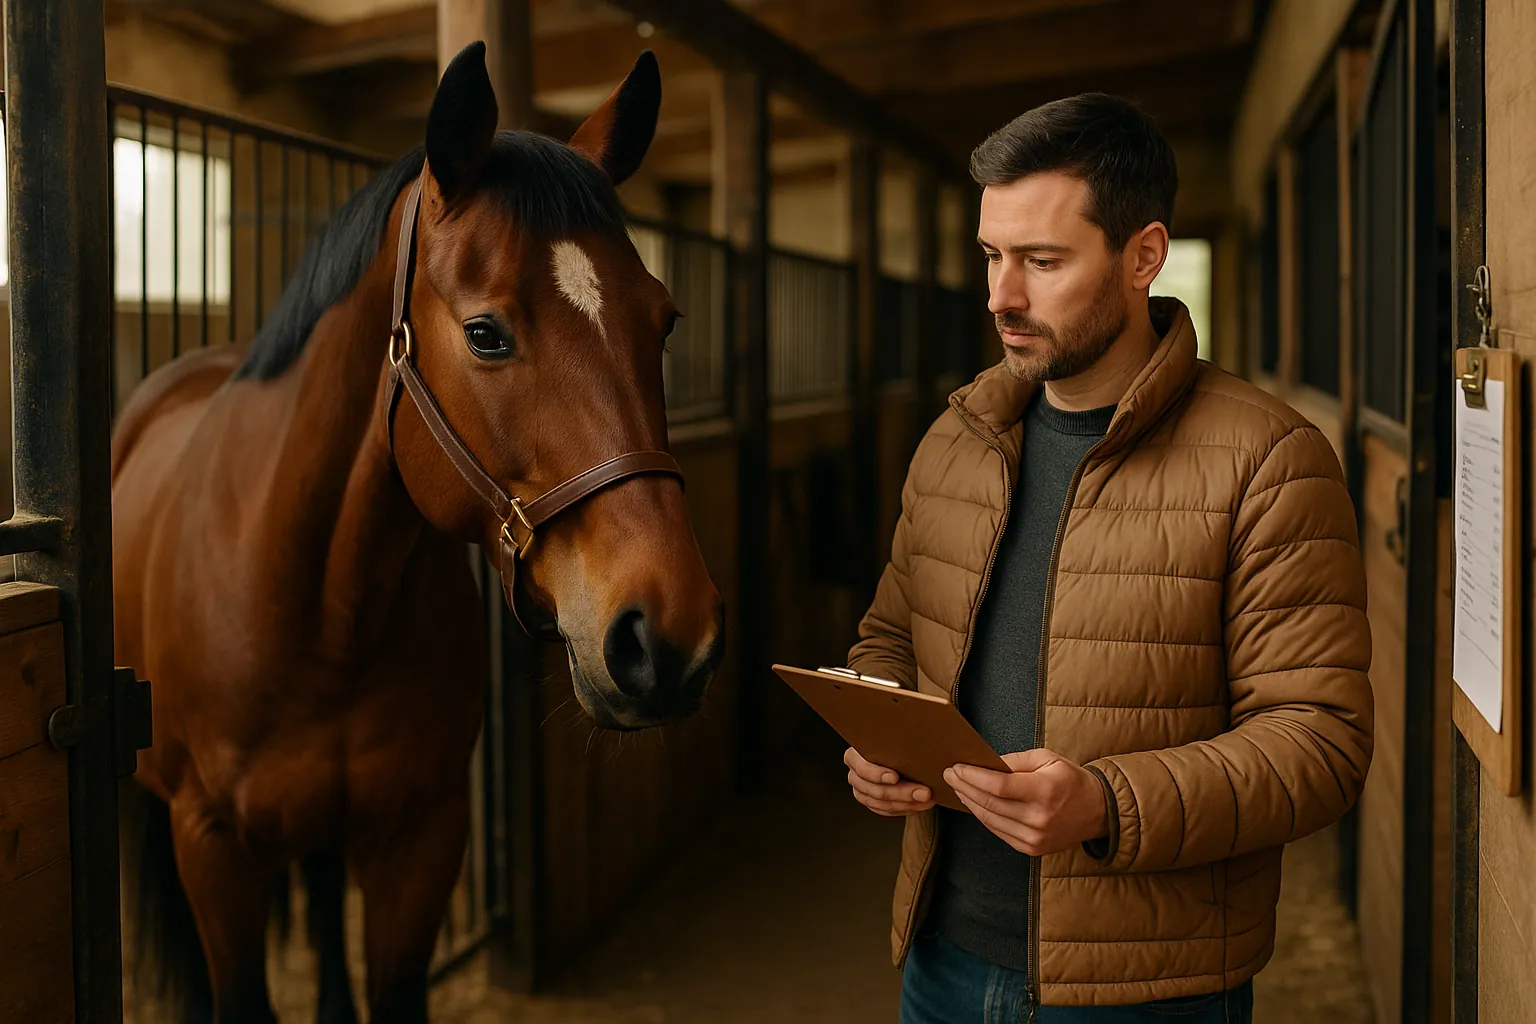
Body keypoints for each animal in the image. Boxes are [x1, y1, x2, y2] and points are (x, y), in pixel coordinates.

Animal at [112, 42, 725, 1024]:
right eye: (485, 333)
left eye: (663, 322)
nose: (669, 635)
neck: (321, 611)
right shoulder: (212, 849)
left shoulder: (422, 843)